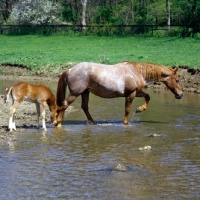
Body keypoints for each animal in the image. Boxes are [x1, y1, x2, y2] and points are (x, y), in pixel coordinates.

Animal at [55, 61, 183, 126]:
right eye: (177, 80)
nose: (180, 94)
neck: (136, 71)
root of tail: (70, 70)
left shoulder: (136, 92)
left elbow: (148, 96)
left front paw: (140, 109)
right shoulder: (131, 94)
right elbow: (127, 109)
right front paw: (126, 123)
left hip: (85, 92)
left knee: (84, 107)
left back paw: (92, 122)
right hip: (75, 93)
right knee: (65, 104)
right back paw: (58, 122)